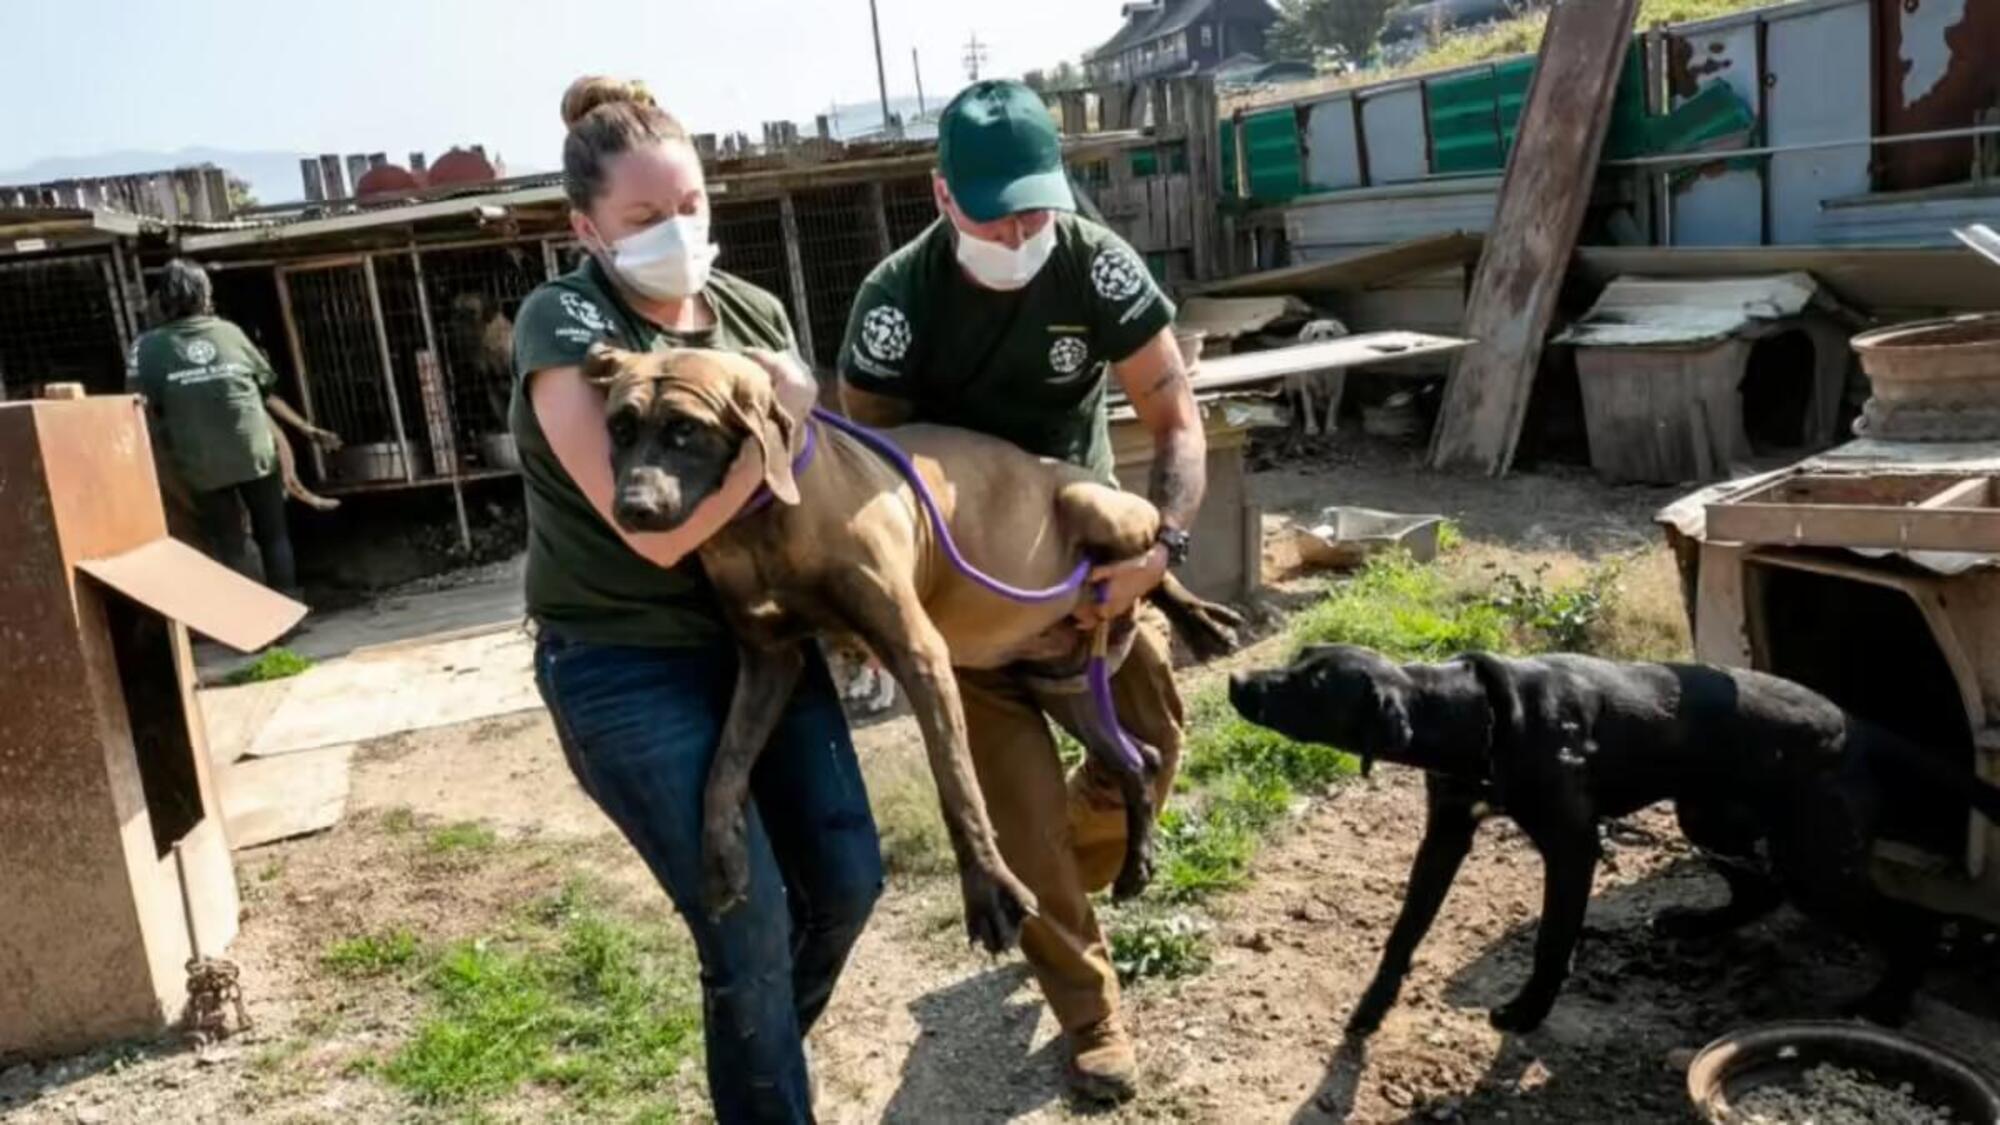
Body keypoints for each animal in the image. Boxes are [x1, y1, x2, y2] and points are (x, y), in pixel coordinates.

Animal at [584, 342, 1232, 944]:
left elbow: (957, 784)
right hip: (1063, 681)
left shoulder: (918, 655)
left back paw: (1198, 618)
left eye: (684, 429)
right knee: (1139, 760)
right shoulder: (767, 661)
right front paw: (720, 859)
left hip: (1093, 508)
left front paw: (990, 886)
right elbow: (724, 764)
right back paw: (1136, 861)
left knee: (1152, 553)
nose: (632, 508)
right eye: (619, 428)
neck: (757, 520)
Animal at [1224, 644, 2000, 1032]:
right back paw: (1696, 923)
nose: (1235, 680)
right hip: (1711, 816)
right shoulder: (1443, 837)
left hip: (1817, 862)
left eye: (1311, 684)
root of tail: (1857, 725)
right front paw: (1372, 1007)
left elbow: (1551, 942)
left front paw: (1528, 1013)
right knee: (1757, 889)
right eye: (1296, 657)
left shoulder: (1573, 847)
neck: (1476, 718)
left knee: (1914, 922)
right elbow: (1403, 931)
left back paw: (1887, 1002)